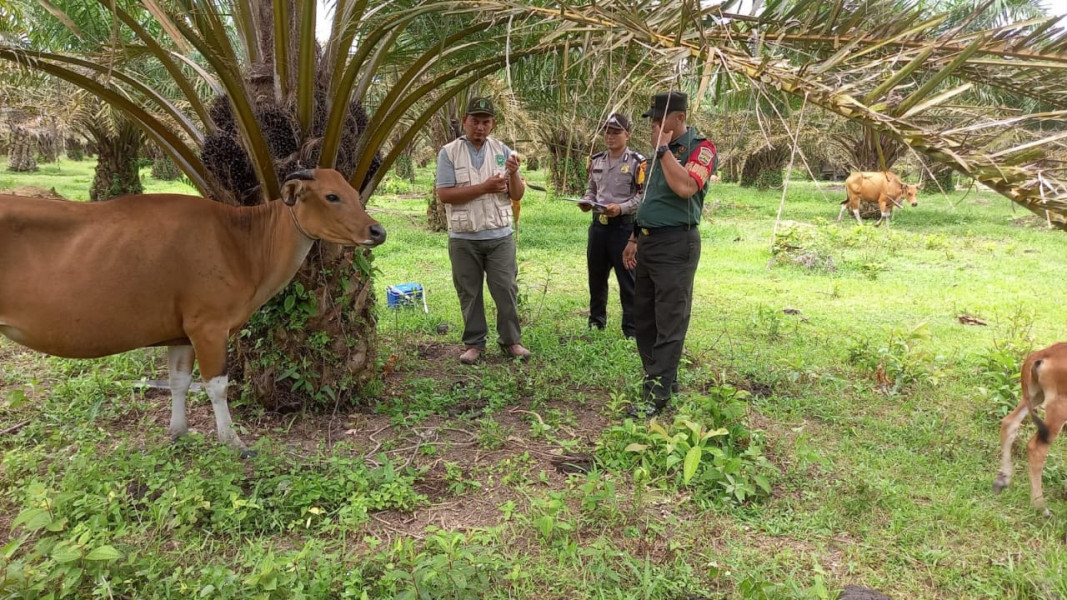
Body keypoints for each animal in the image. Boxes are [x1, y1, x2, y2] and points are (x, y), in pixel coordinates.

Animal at [0, 168, 384, 452]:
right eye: (332, 196)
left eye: (354, 192)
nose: (377, 230)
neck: (241, 242)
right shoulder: (208, 327)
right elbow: (217, 386)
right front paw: (233, 440)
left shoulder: (180, 334)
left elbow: (178, 382)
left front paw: (178, 432)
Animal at [990, 341, 1067, 514]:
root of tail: (1045, 352)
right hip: (1058, 407)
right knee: (1036, 447)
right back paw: (1040, 505)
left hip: (1034, 395)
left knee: (1009, 423)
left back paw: (1002, 480)